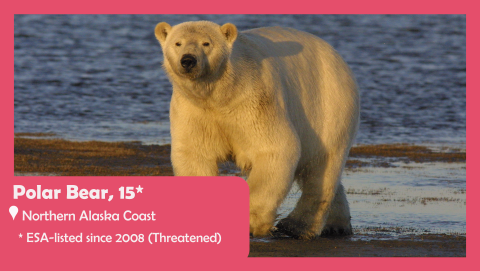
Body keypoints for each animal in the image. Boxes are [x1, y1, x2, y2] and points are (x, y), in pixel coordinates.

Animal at [156, 20, 358, 240]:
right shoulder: (194, 111)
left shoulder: (254, 101)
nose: (188, 60)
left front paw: (251, 223)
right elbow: (195, 154)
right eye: (178, 43)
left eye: (206, 43)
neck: (221, 93)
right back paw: (336, 225)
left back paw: (296, 226)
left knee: (322, 165)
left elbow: (275, 149)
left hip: (328, 106)